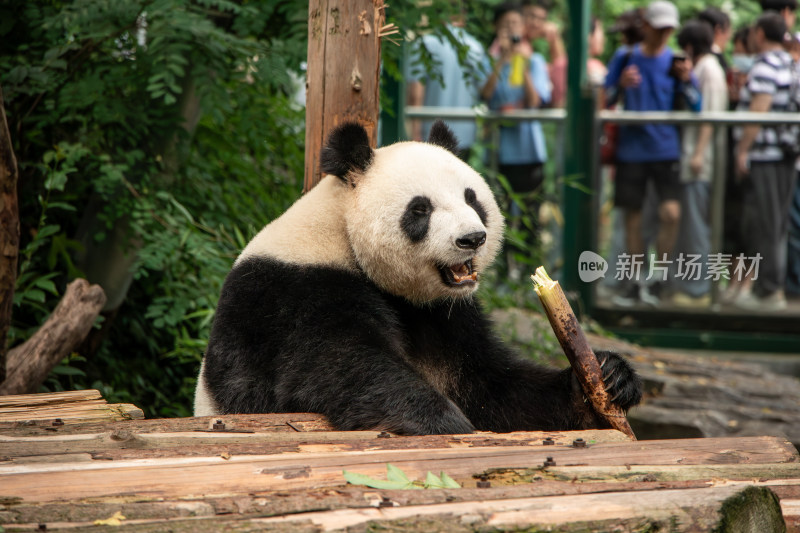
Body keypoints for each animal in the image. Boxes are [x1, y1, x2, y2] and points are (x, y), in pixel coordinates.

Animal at [195, 121, 644, 436]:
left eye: (472, 198)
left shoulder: (444, 314)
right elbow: (336, 365)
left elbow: (490, 387)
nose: (472, 238)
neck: (341, 233)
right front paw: (442, 420)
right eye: (420, 209)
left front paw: (609, 377)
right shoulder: (294, 293)